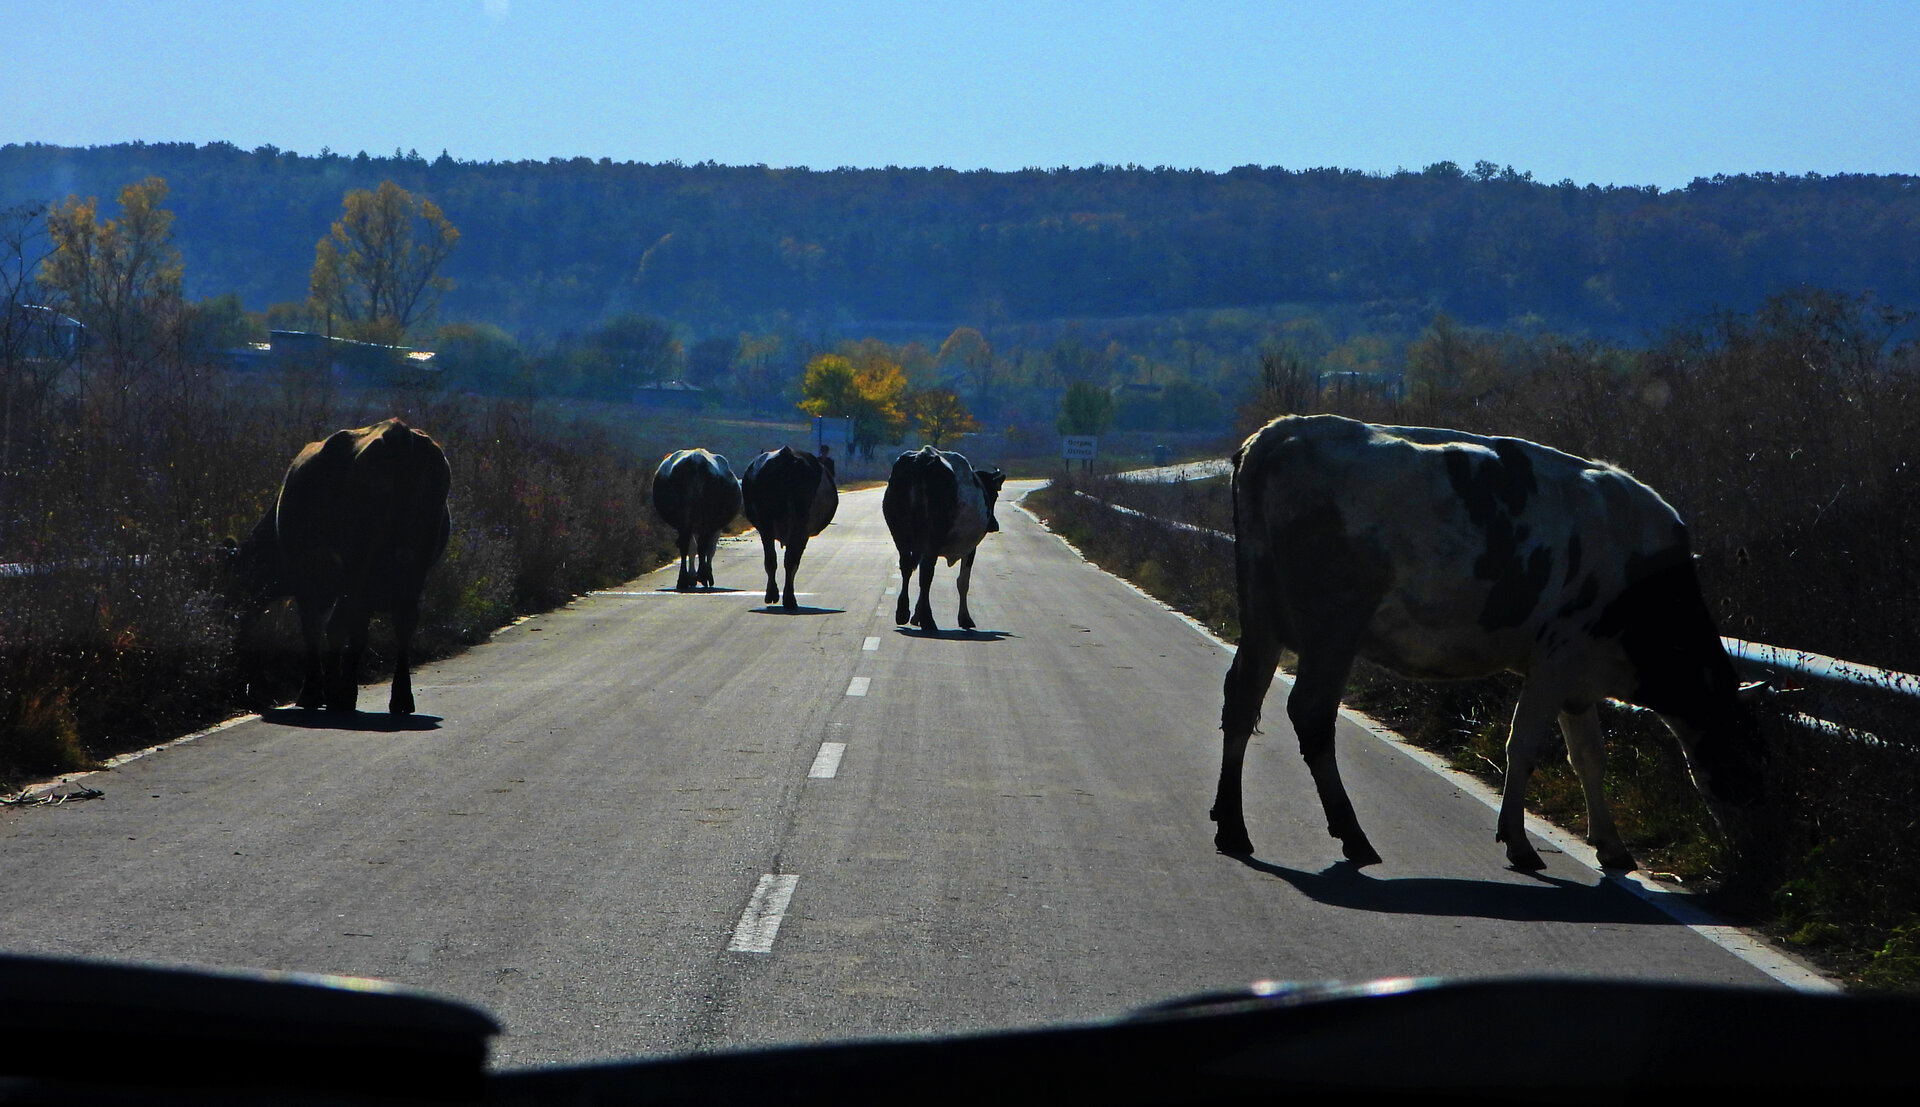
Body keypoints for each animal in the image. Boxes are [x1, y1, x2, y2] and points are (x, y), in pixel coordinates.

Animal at [234, 419, 451, 716]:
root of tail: (398, 431)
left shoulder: (307, 582)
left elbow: (314, 629)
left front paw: (315, 692)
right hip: (414, 565)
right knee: (402, 622)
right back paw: (400, 698)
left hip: (359, 563)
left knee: (352, 622)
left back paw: (346, 695)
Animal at [651, 449, 743, 591]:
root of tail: (696, 459)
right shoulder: (715, 528)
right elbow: (709, 549)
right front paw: (704, 574)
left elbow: (692, 547)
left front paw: (692, 577)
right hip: (706, 518)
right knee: (702, 545)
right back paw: (703, 576)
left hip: (683, 517)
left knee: (684, 544)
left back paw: (683, 579)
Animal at [739, 446, 837, 611]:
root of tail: (786, 456)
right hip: (797, 525)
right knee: (789, 561)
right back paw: (788, 598)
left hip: (768, 524)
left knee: (774, 560)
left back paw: (776, 595)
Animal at [882, 446, 1006, 633]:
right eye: (994, 495)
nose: (994, 525)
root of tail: (922, 457)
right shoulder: (971, 549)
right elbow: (963, 582)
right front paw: (965, 618)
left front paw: (916, 616)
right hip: (932, 537)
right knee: (926, 573)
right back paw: (928, 620)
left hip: (899, 535)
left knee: (906, 567)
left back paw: (903, 613)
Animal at [1213, 414, 1765, 871]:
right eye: (1745, 749)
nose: (1752, 852)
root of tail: (1280, 431)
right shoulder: (1554, 661)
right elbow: (1523, 746)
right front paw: (1518, 842)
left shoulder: (1578, 678)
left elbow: (1589, 757)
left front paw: (1611, 846)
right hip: (1332, 629)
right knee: (1309, 713)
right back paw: (1352, 835)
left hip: (1264, 618)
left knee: (1241, 699)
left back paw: (1233, 827)